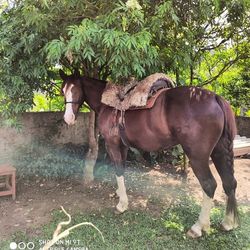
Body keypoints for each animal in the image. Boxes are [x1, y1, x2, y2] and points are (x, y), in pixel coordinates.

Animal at [59, 70, 239, 238]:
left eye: (75, 90)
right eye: (63, 91)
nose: (68, 119)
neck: (108, 103)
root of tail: (215, 97)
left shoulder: (113, 144)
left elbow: (118, 170)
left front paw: (122, 204)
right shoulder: (123, 146)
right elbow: (121, 169)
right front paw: (119, 193)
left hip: (197, 156)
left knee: (209, 185)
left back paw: (198, 227)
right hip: (219, 151)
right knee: (229, 182)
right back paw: (228, 223)